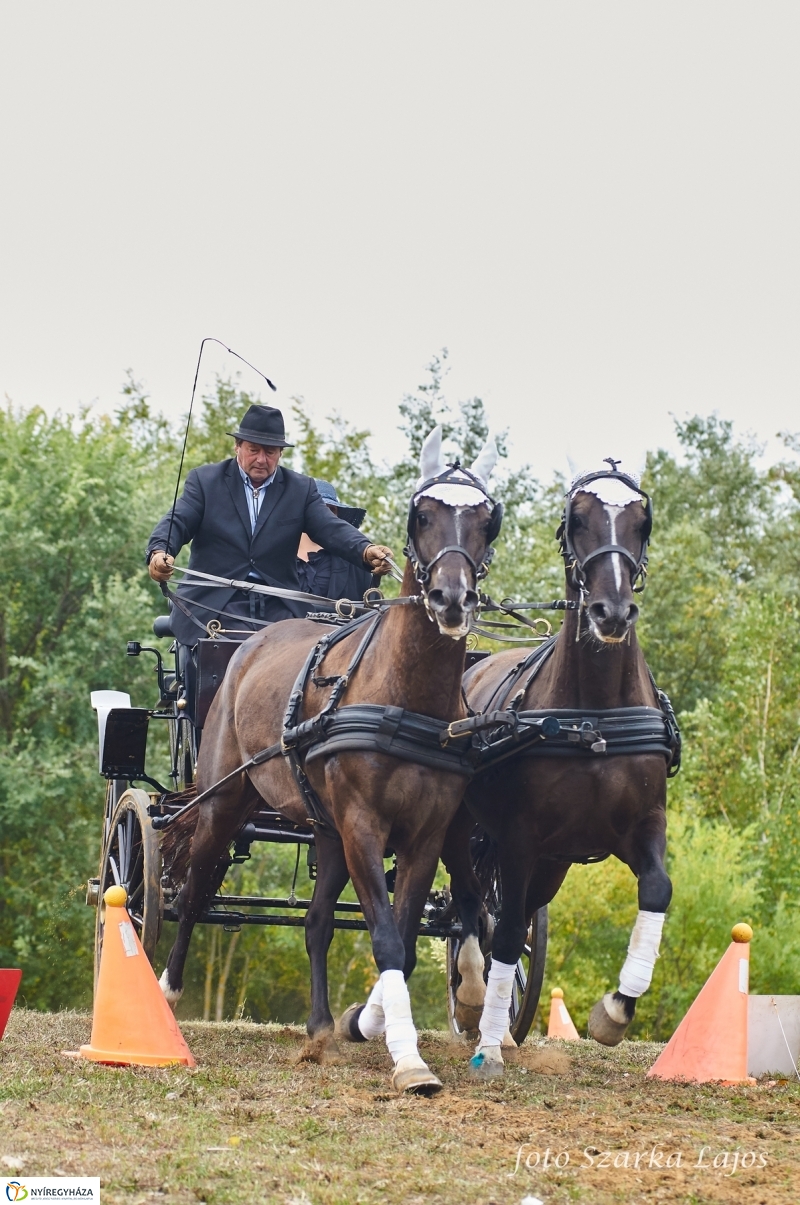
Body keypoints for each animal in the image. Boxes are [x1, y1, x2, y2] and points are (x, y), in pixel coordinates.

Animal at [157, 431, 501, 1094]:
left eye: (487, 520)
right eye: (422, 514)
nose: (451, 600)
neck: (405, 696)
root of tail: (250, 639)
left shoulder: (423, 834)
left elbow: (404, 940)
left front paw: (378, 1028)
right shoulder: (364, 826)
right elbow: (388, 942)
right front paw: (410, 1061)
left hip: (324, 829)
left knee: (316, 921)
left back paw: (318, 1029)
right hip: (224, 801)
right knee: (191, 891)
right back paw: (166, 988)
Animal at [443, 460, 674, 1074]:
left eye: (641, 522)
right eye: (577, 520)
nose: (611, 612)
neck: (592, 716)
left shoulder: (643, 824)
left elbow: (657, 890)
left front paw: (614, 1012)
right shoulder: (520, 837)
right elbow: (501, 935)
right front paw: (487, 1043)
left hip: (551, 863)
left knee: (506, 912)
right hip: (464, 831)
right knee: (468, 903)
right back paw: (472, 998)